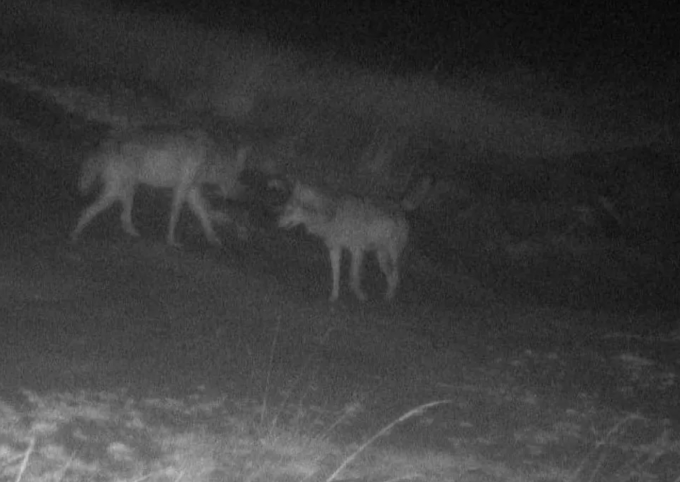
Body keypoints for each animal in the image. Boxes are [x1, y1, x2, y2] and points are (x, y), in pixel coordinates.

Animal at [70, 126, 250, 247]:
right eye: (235, 178)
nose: (241, 197)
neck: (210, 158)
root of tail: (108, 141)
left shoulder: (191, 191)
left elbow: (204, 215)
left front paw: (213, 238)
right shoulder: (181, 189)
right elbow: (175, 216)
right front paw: (171, 240)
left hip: (125, 190)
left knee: (120, 216)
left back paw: (130, 233)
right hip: (118, 191)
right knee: (88, 210)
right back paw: (75, 235)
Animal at [278, 181, 410, 302]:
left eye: (289, 210)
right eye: (285, 209)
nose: (277, 222)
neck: (330, 214)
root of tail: (401, 209)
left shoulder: (357, 250)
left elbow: (353, 275)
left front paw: (360, 296)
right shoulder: (334, 249)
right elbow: (336, 275)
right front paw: (334, 296)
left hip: (392, 255)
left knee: (396, 276)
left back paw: (389, 298)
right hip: (382, 258)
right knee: (392, 277)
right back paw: (388, 297)